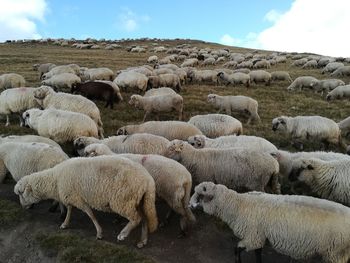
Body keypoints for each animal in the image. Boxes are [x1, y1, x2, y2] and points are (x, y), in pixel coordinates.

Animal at [14, 157, 158, 250]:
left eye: (21, 193)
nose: (22, 207)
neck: (55, 179)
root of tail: (148, 181)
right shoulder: (72, 196)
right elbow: (70, 209)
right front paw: (65, 223)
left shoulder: (78, 198)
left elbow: (90, 214)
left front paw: (99, 233)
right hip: (139, 201)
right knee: (144, 219)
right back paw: (142, 241)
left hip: (122, 201)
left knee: (136, 219)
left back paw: (123, 234)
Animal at [190, 183, 350, 263]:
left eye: (200, 196)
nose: (189, 205)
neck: (237, 205)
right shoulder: (259, 236)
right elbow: (258, 254)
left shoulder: (252, 236)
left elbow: (236, 249)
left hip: (335, 252)